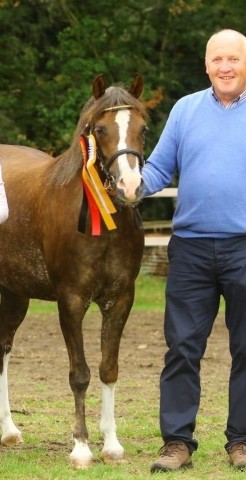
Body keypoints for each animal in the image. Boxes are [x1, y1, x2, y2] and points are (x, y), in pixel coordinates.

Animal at [0, 75, 147, 468]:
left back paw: (9, 430)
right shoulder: (71, 301)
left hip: (14, 295)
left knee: (3, 348)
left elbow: (108, 368)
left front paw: (112, 444)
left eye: (143, 129)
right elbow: (79, 374)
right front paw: (80, 447)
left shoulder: (119, 299)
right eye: (99, 129)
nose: (130, 187)